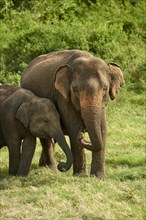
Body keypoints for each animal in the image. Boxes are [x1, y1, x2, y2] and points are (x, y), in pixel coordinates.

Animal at [21, 49, 124, 177]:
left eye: (105, 88)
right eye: (75, 89)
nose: (82, 136)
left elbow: (102, 129)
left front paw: (99, 177)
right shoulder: (63, 97)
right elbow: (74, 128)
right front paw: (81, 175)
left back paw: (44, 166)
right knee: (45, 138)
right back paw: (51, 168)